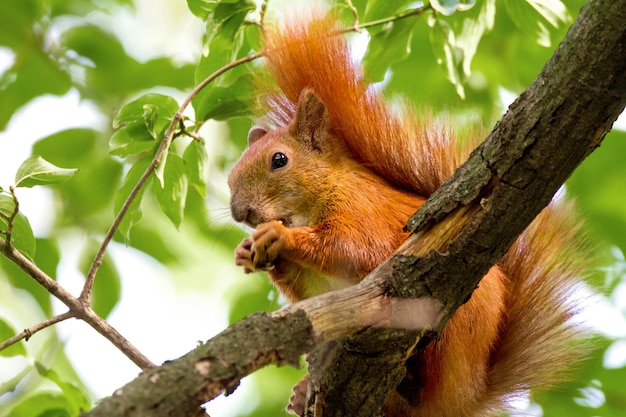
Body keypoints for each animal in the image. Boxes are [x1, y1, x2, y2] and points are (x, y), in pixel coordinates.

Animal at [228, 7, 584, 416]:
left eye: (279, 160)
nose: (240, 212)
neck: (322, 193)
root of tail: (463, 397)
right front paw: (248, 252)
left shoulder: (361, 214)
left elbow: (348, 250)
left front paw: (279, 236)